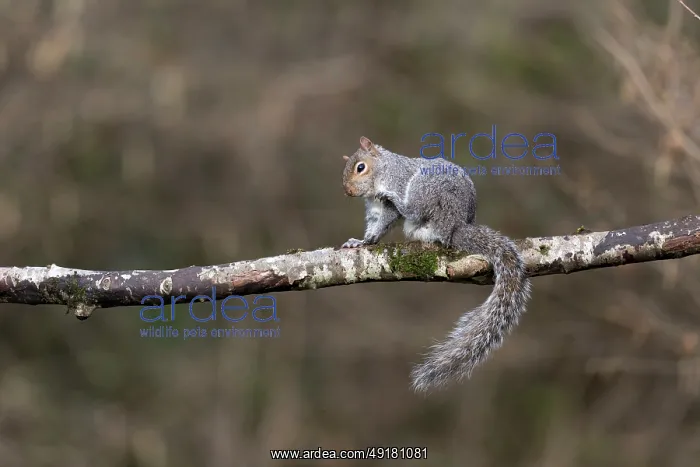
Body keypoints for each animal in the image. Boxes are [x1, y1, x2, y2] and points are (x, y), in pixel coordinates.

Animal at [340, 136, 531, 393]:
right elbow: (374, 229)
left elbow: (386, 219)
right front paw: (360, 242)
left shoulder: (396, 185)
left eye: (360, 167)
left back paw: (401, 203)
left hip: (426, 188)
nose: (348, 191)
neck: (384, 171)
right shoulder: (373, 210)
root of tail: (455, 225)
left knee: (414, 210)